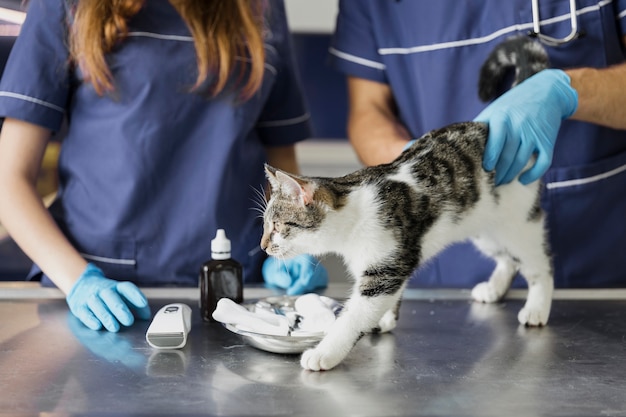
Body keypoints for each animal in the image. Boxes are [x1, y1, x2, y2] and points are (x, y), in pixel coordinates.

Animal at [258, 36, 552, 370]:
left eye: (277, 226)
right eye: (265, 226)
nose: (263, 246)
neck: (352, 213)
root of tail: (501, 127)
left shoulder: (386, 266)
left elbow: (353, 316)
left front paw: (325, 353)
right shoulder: (388, 263)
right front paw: (385, 318)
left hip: (518, 222)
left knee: (538, 265)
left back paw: (537, 307)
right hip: (485, 229)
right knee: (506, 257)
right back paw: (494, 287)